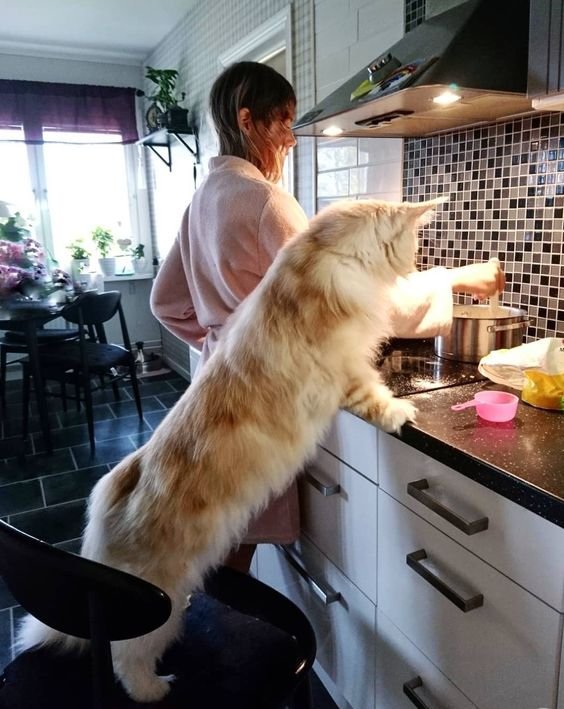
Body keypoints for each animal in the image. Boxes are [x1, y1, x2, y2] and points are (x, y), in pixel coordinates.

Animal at [15, 196, 442, 700]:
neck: (323, 254)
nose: (417, 266)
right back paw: (154, 689)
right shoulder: (347, 369)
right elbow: (374, 396)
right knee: (125, 657)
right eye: (413, 245)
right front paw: (400, 412)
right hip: (159, 602)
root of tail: (114, 493)